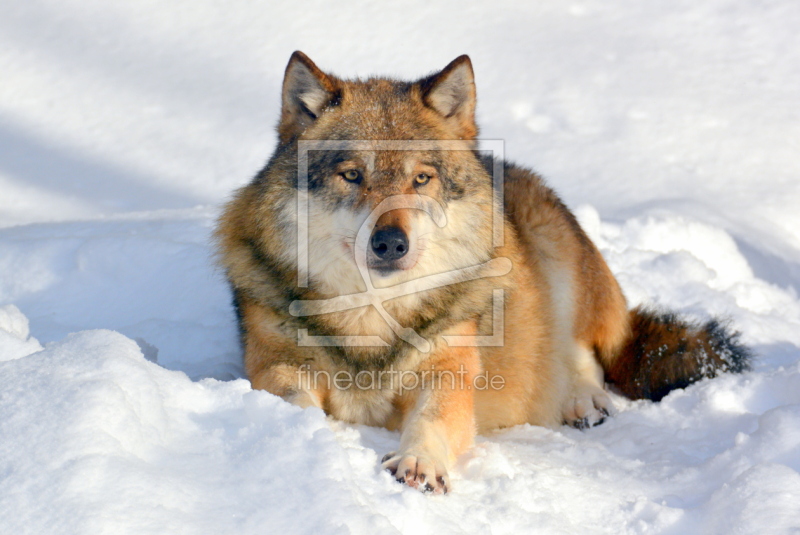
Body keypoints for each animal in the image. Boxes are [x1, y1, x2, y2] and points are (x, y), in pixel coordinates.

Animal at [216, 52, 752, 496]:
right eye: (352, 175)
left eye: (421, 178)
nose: (390, 242)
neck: (373, 315)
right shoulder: (275, 365)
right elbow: (296, 403)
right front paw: (313, 440)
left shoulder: (450, 370)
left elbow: (432, 420)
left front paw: (417, 463)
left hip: (554, 252)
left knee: (583, 351)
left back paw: (583, 401)